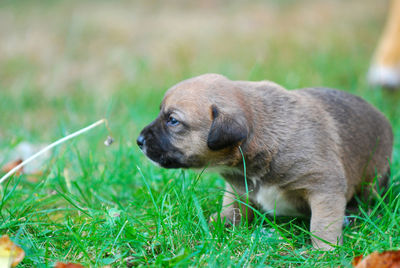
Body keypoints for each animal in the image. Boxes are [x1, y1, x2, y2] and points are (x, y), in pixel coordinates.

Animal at [138, 73, 394, 249]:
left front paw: (324, 251)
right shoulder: (237, 187)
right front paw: (217, 223)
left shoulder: (324, 186)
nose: (139, 140)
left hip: (373, 179)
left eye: (173, 120)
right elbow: (232, 206)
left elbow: (322, 224)